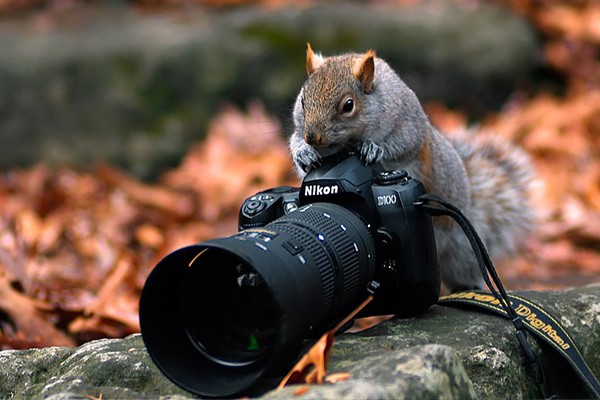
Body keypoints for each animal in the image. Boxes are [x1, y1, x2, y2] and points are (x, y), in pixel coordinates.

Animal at [290, 43, 536, 292]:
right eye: (302, 101)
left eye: (348, 105)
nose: (313, 137)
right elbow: (296, 145)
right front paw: (304, 152)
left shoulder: (408, 126)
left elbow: (402, 145)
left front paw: (372, 148)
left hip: (460, 245)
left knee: (465, 268)